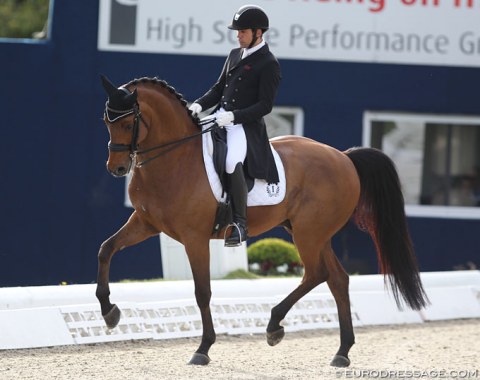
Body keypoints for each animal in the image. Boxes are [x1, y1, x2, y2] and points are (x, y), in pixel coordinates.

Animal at [96, 76, 428, 366]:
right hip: (313, 233)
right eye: (106, 122)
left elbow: (202, 292)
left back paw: (274, 326)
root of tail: (345, 158)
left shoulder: (195, 238)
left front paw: (203, 349)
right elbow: (106, 249)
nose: (116, 168)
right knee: (337, 279)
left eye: (128, 123)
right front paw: (110, 312)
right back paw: (341, 352)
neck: (174, 157)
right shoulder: (145, 223)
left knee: (316, 274)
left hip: (308, 233)